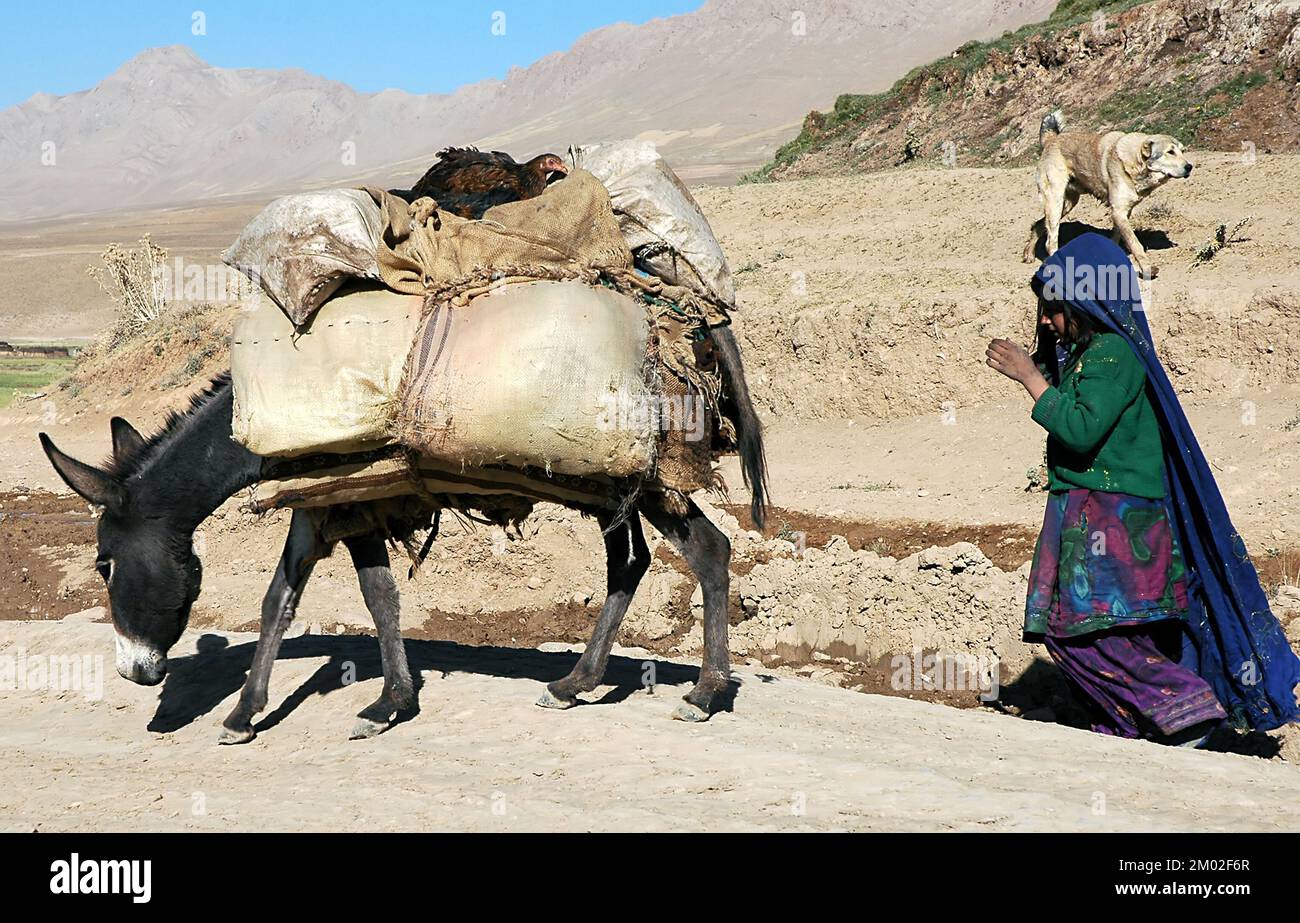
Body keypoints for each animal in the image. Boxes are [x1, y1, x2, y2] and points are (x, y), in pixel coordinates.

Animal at [1019, 110, 1190, 276]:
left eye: (1182, 151)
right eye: (1170, 152)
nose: (1190, 166)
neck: (1135, 163)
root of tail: (1051, 139)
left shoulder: (1123, 213)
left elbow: (1117, 238)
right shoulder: (1118, 212)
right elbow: (1136, 244)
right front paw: (1147, 268)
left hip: (1067, 204)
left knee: (1039, 224)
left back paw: (1028, 254)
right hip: (1056, 202)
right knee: (1050, 241)